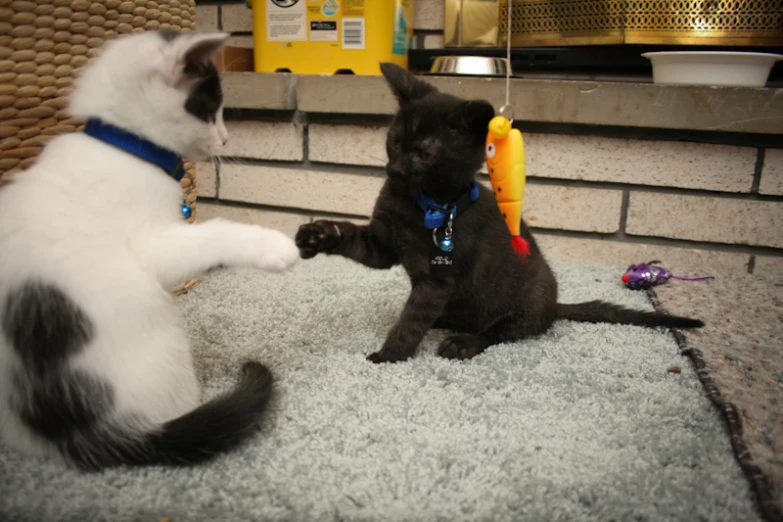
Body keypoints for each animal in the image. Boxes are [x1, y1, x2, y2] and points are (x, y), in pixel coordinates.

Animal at [0, 30, 300, 470]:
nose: (226, 138)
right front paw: (274, 243)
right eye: (209, 111)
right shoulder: (151, 244)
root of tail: (80, 433)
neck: (125, 146)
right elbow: (211, 235)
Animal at [296, 63, 704, 364]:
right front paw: (318, 234)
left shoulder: (436, 280)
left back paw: (463, 342)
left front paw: (390, 354)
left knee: (505, 331)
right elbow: (351, 238)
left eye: (424, 154)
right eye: (394, 142)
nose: (393, 170)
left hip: (526, 298)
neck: (421, 204)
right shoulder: (382, 245)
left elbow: (411, 320)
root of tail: (554, 306)